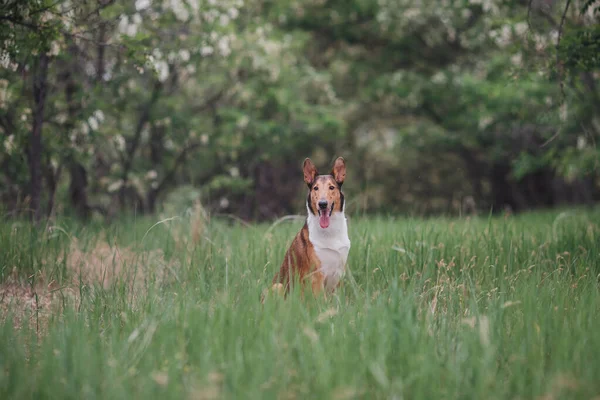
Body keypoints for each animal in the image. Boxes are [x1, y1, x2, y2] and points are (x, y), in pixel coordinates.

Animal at [268, 156, 350, 296]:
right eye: (315, 188)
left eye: (331, 187)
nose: (322, 204)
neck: (331, 232)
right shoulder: (317, 276)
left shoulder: (337, 275)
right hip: (277, 286)